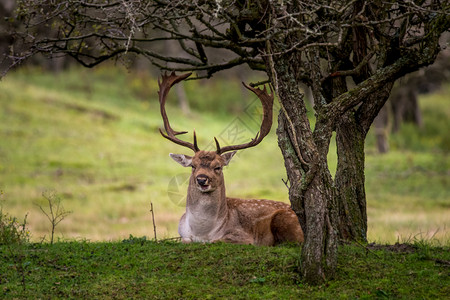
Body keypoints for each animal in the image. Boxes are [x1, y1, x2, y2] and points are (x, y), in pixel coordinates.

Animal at [157, 72, 302, 246]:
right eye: (193, 166)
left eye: (218, 167)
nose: (201, 179)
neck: (202, 232)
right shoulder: (182, 234)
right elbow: (185, 241)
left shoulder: (243, 237)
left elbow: (216, 241)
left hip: (285, 219)